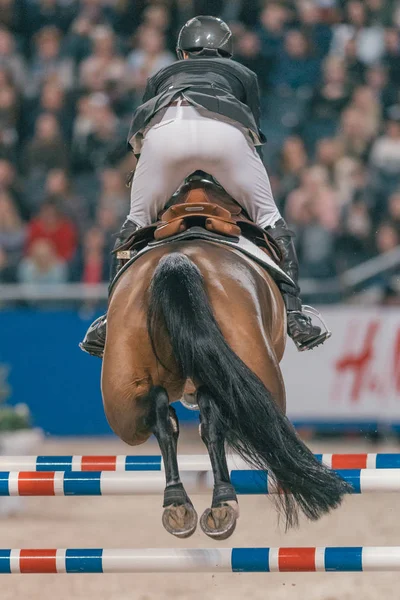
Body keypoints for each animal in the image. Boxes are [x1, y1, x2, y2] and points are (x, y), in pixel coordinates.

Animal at [101, 180, 350, 540]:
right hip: (262, 385)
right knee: (213, 413)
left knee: (165, 413)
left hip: (122, 391)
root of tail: (178, 260)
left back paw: (179, 503)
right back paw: (222, 504)